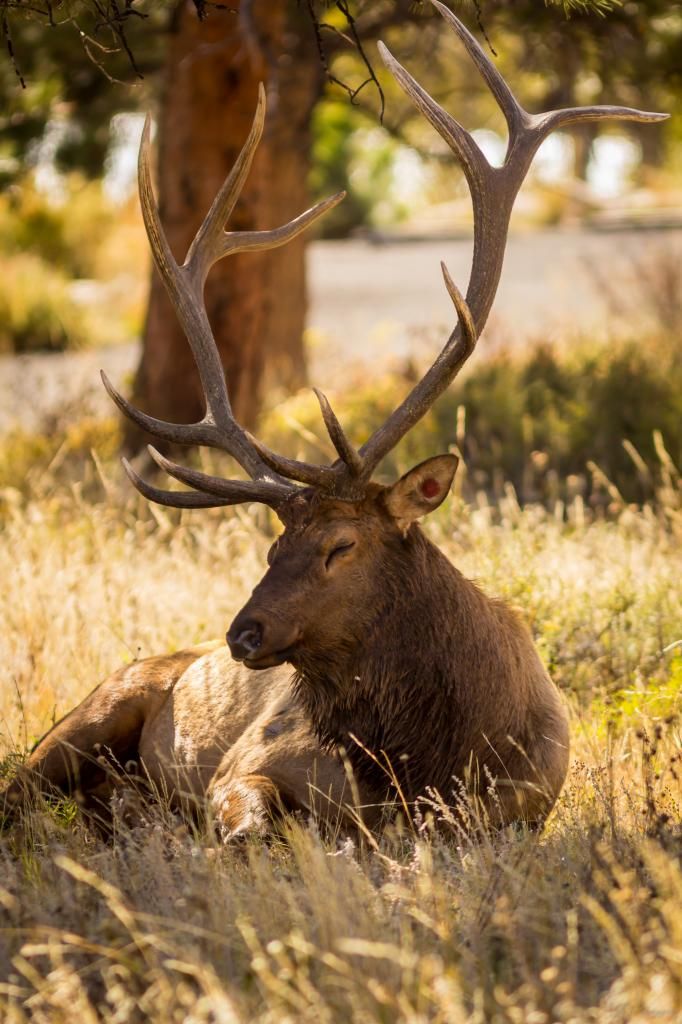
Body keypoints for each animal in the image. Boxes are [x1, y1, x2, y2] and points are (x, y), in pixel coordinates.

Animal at [2, 4, 663, 839]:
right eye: (272, 545)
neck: (429, 761)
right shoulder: (248, 764)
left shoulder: (520, 806)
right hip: (90, 710)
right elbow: (251, 825)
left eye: (339, 547)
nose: (243, 633)